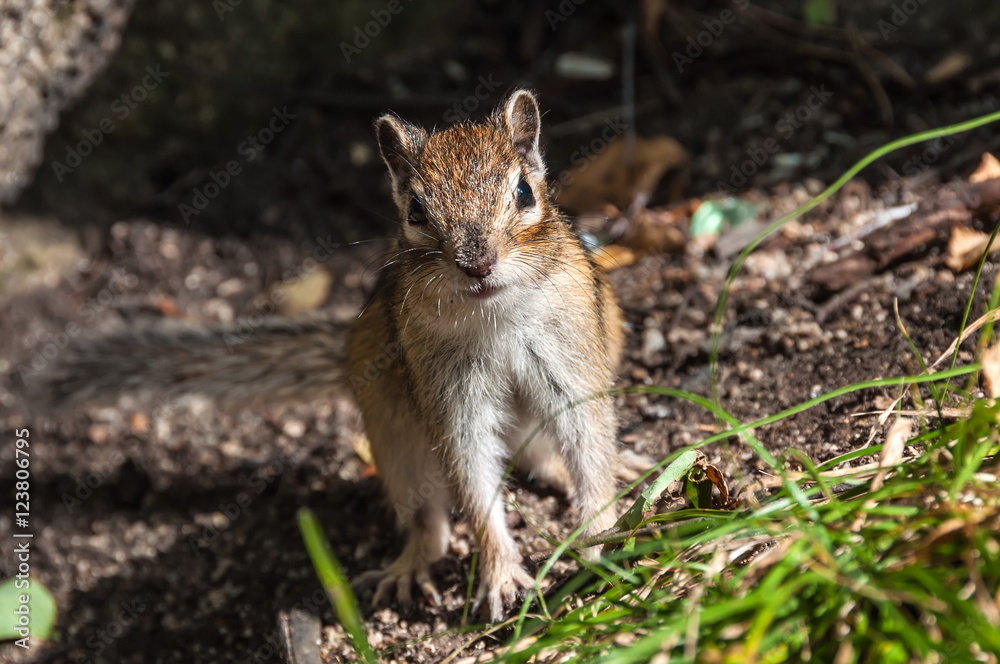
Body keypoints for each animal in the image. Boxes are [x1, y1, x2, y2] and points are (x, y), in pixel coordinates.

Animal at [36, 89, 627, 622]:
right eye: (416, 210)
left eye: (525, 192)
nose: (477, 264)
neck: (495, 314)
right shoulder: (453, 400)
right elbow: (474, 480)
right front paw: (502, 570)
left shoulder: (570, 366)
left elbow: (588, 446)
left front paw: (603, 532)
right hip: (395, 443)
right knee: (430, 522)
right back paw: (411, 564)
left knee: (543, 456)